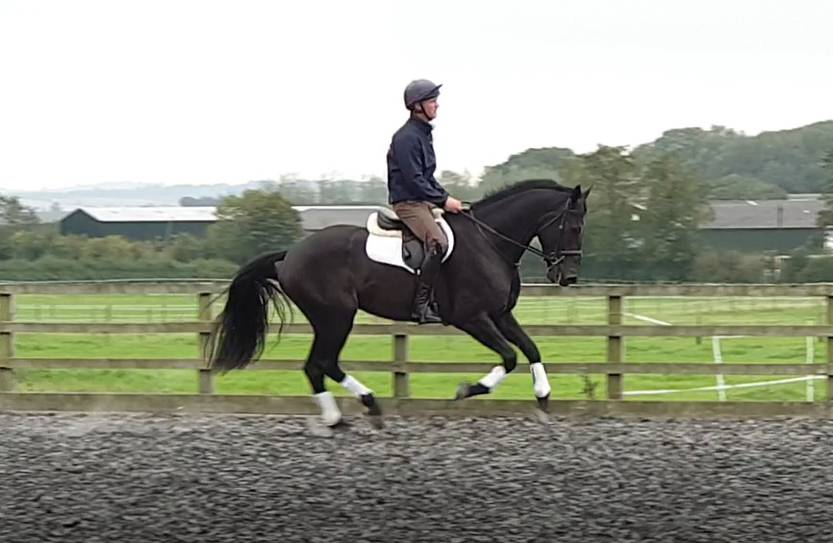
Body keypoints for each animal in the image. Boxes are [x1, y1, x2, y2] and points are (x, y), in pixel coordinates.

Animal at [206, 179, 590, 432]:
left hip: (329, 319)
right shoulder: (472, 318)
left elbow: (531, 348)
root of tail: (290, 255)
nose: (568, 277)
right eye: (571, 226)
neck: (489, 242)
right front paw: (467, 390)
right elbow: (510, 357)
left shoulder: (500, 314)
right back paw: (360, 407)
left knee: (317, 366)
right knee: (322, 363)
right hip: (336, 317)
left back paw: (344, 415)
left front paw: (543, 395)